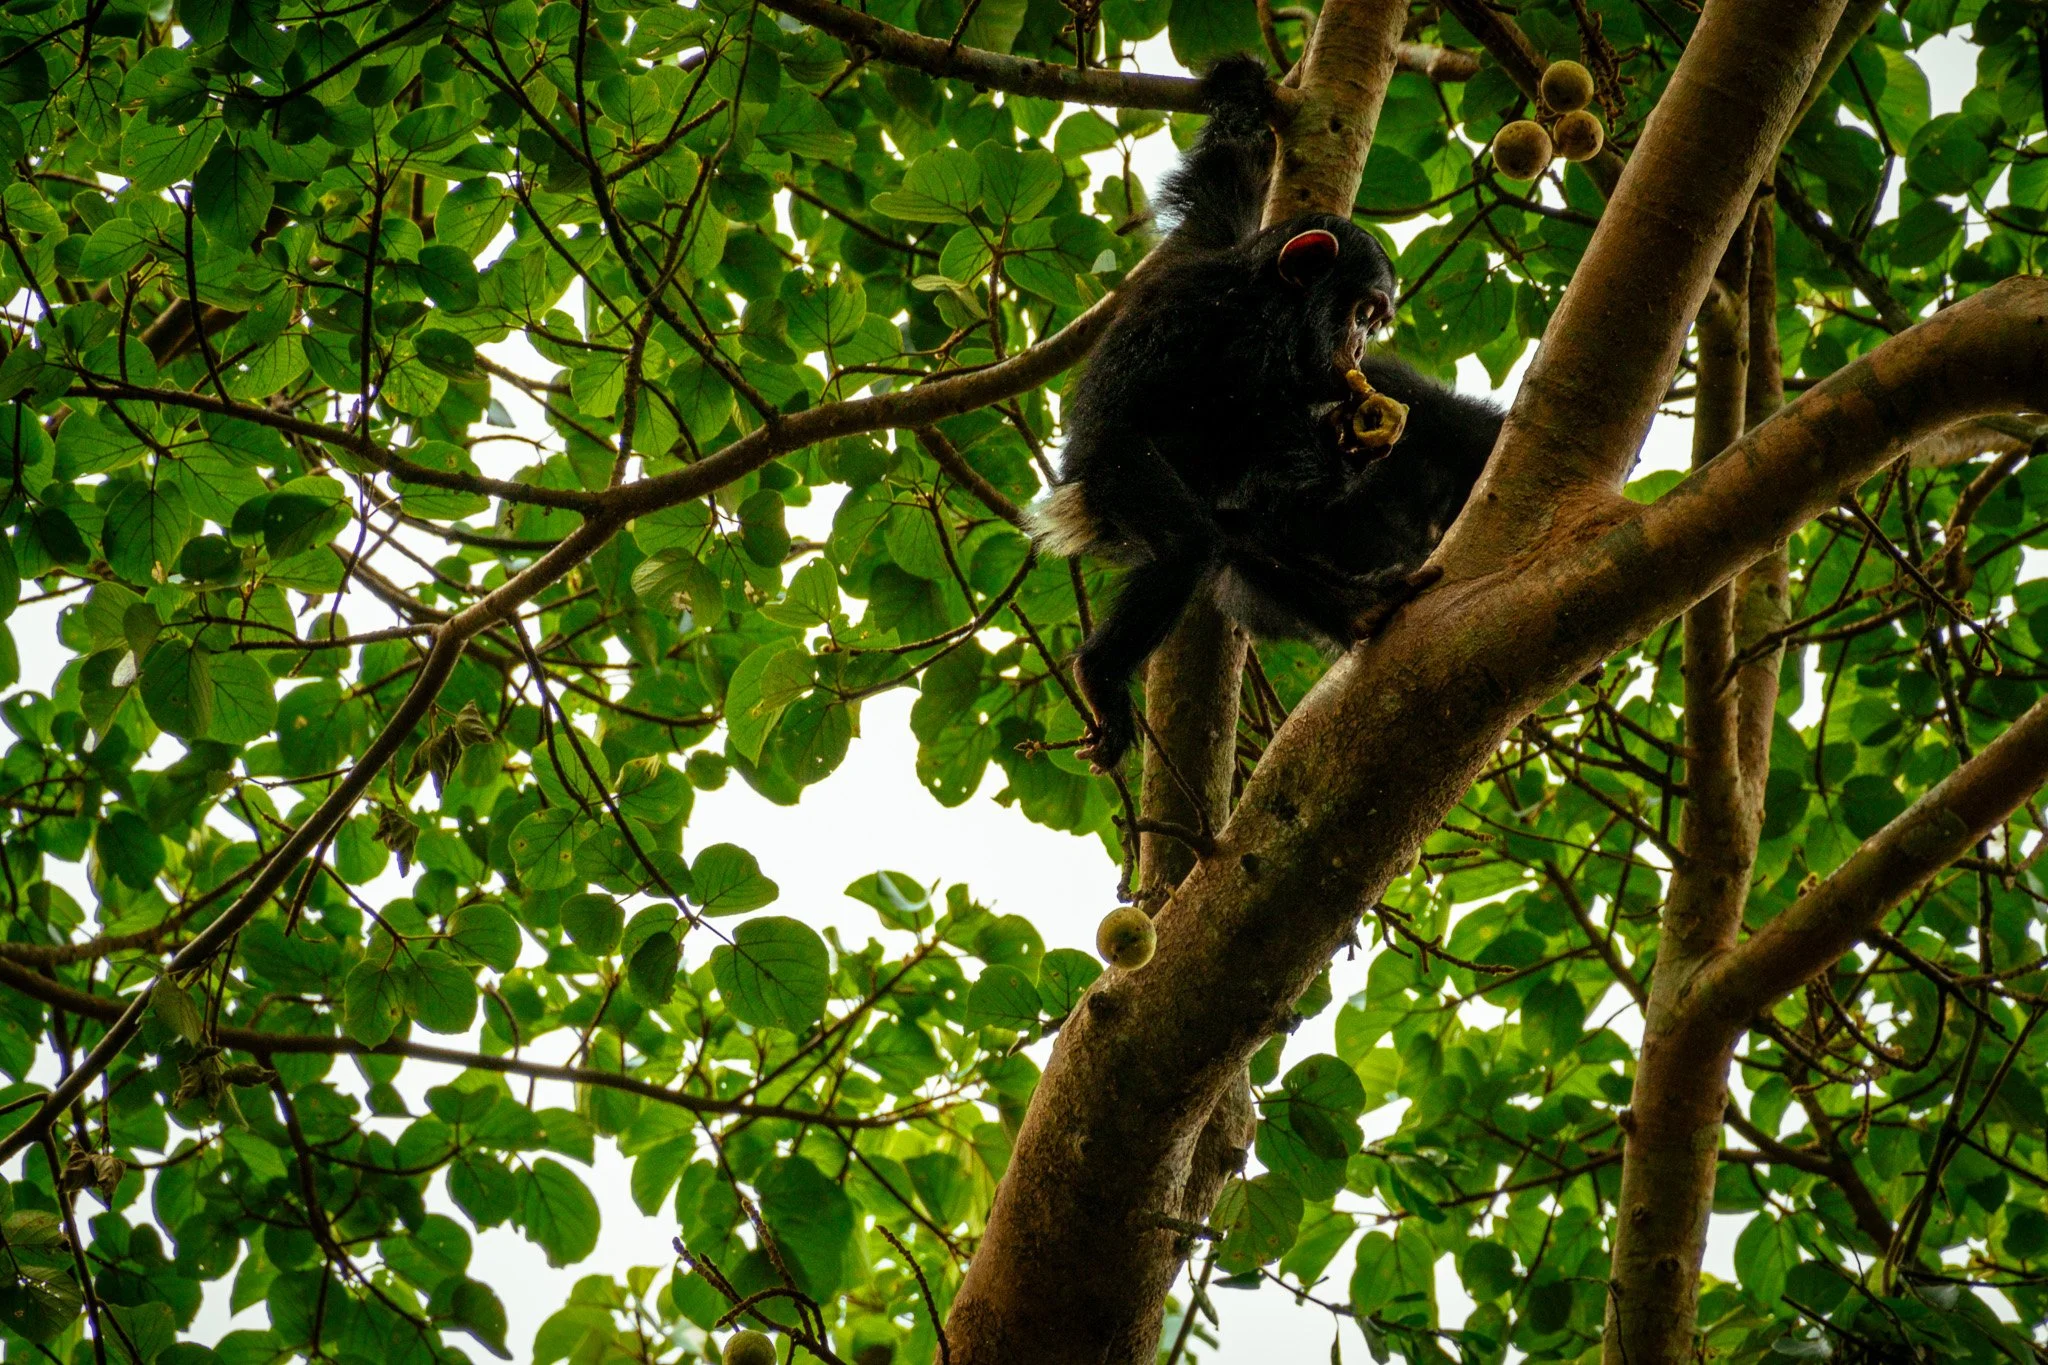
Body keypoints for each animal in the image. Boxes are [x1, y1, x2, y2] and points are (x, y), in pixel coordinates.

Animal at [1030, 54, 1504, 771]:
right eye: (1361, 311)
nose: (1359, 345)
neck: (1269, 294)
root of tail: (1078, 491)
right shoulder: (1249, 338)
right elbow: (1258, 432)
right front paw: (1345, 444)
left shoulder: (1208, 237)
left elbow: (1224, 175)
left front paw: (1243, 88)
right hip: (1121, 469)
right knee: (1191, 543)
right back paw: (1103, 675)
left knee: (1240, 537)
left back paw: (1357, 613)